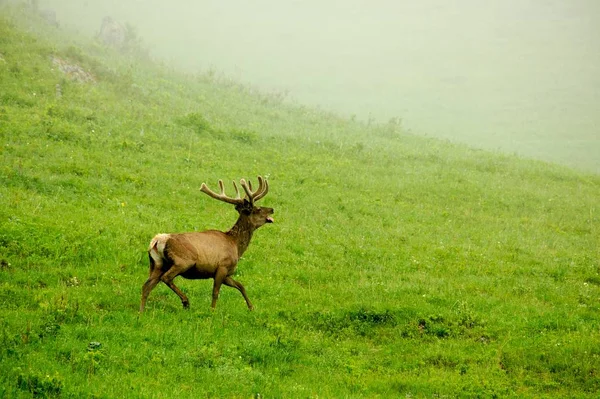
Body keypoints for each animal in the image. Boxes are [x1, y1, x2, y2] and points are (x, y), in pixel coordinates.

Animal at [139, 177, 274, 312]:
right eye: (258, 209)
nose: (272, 209)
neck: (235, 245)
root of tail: (157, 240)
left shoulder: (227, 273)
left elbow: (240, 285)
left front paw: (251, 307)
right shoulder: (222, 267)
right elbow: (215, 292)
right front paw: (212, 310)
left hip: (157, 264)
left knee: (146, 286)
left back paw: (142, 311)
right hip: (183, 261)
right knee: (166, 278)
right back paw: (185, 301)